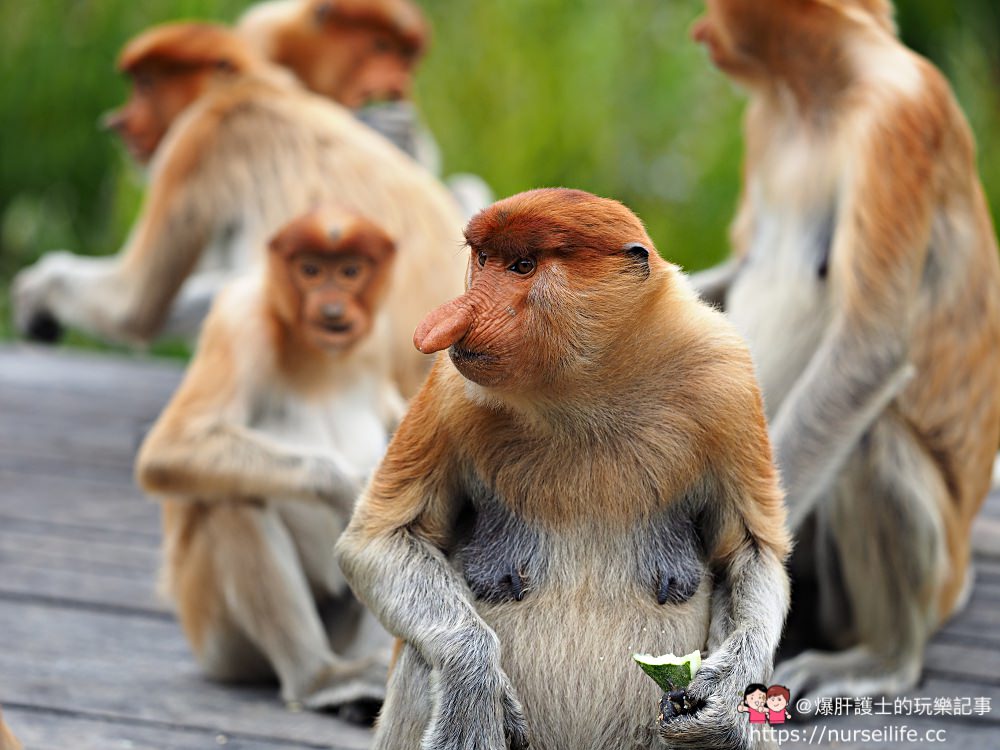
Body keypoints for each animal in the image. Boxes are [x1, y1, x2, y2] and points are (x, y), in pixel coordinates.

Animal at [12, 22, 464, 400]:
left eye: (146, 84)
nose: (118, 123)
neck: (253, 87)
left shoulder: (196, 141)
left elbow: (133, 304)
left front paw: (35, 294)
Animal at [137, 209, 406, 712]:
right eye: (310, 270)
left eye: (350, 271)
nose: (332, 310)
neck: (320, 358)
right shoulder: (241, 322)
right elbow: (171, 448)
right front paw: (351, 491)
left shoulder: (380, 337)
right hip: (219, 640)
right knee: (233, 502)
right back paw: (320, 680)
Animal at [340, 189, 792, 750]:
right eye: (484, 259)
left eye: (523, 266)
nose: (453, 318)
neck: (586, 391)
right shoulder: (447, 390)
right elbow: (378, 540)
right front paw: (474, 683)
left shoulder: (727, 378)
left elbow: (751, 552)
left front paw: (723, 700)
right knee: (425, 659)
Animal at [692, 0, 1000, 704]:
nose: (700, 28)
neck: (814, 95)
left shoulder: (900, 121)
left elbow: (868, 351)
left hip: (924, 574)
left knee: (871, 439)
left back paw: (881, 658)